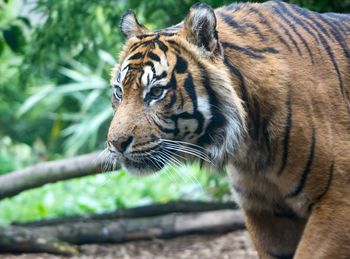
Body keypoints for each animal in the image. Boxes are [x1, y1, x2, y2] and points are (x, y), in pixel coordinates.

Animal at [106, 1, 350, 258]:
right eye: (119, 92)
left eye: (155, 92)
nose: (116, 143)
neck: (250, 146)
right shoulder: (266, 212)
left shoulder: (338, 199)